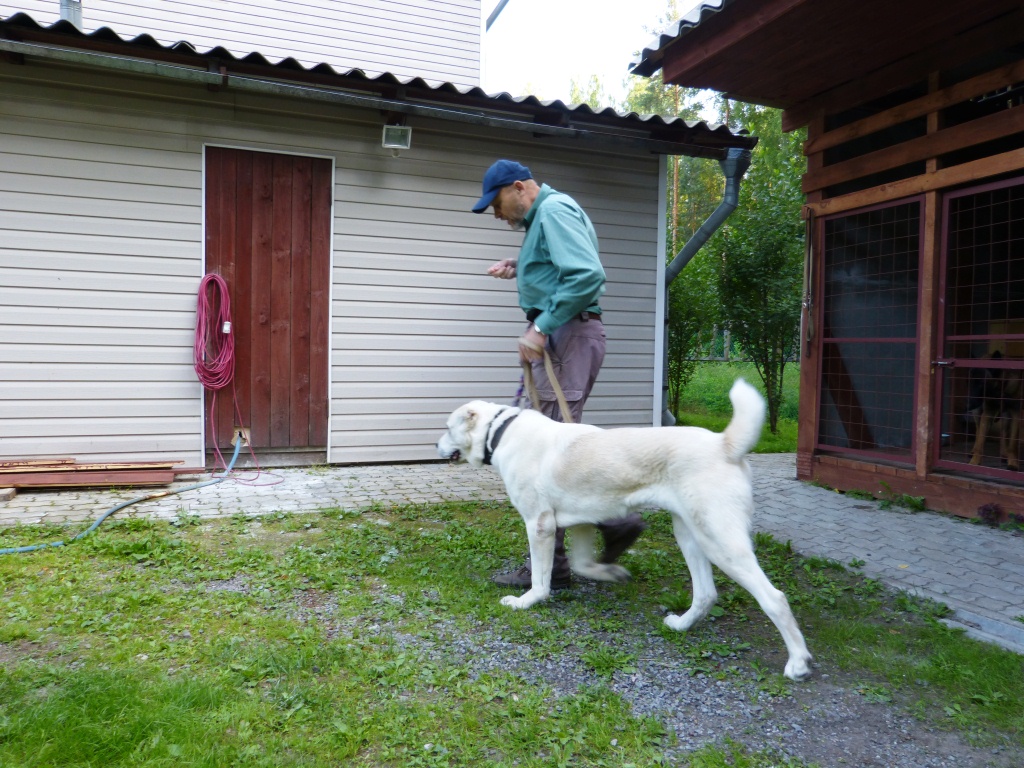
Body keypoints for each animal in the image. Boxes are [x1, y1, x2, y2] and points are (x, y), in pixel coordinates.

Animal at [436, 378, 811, 679]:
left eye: (447, 427)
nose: (434, 446)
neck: (500, 432)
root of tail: (724, 444)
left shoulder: (539, 524)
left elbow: (541, 579)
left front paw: (527, 601)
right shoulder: (581, 522)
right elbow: (581, 564)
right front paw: (611, 573)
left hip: (720, 542)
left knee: (774, 599)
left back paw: (797, 663)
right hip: (689, 536)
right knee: (706, 593)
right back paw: (681, 624)